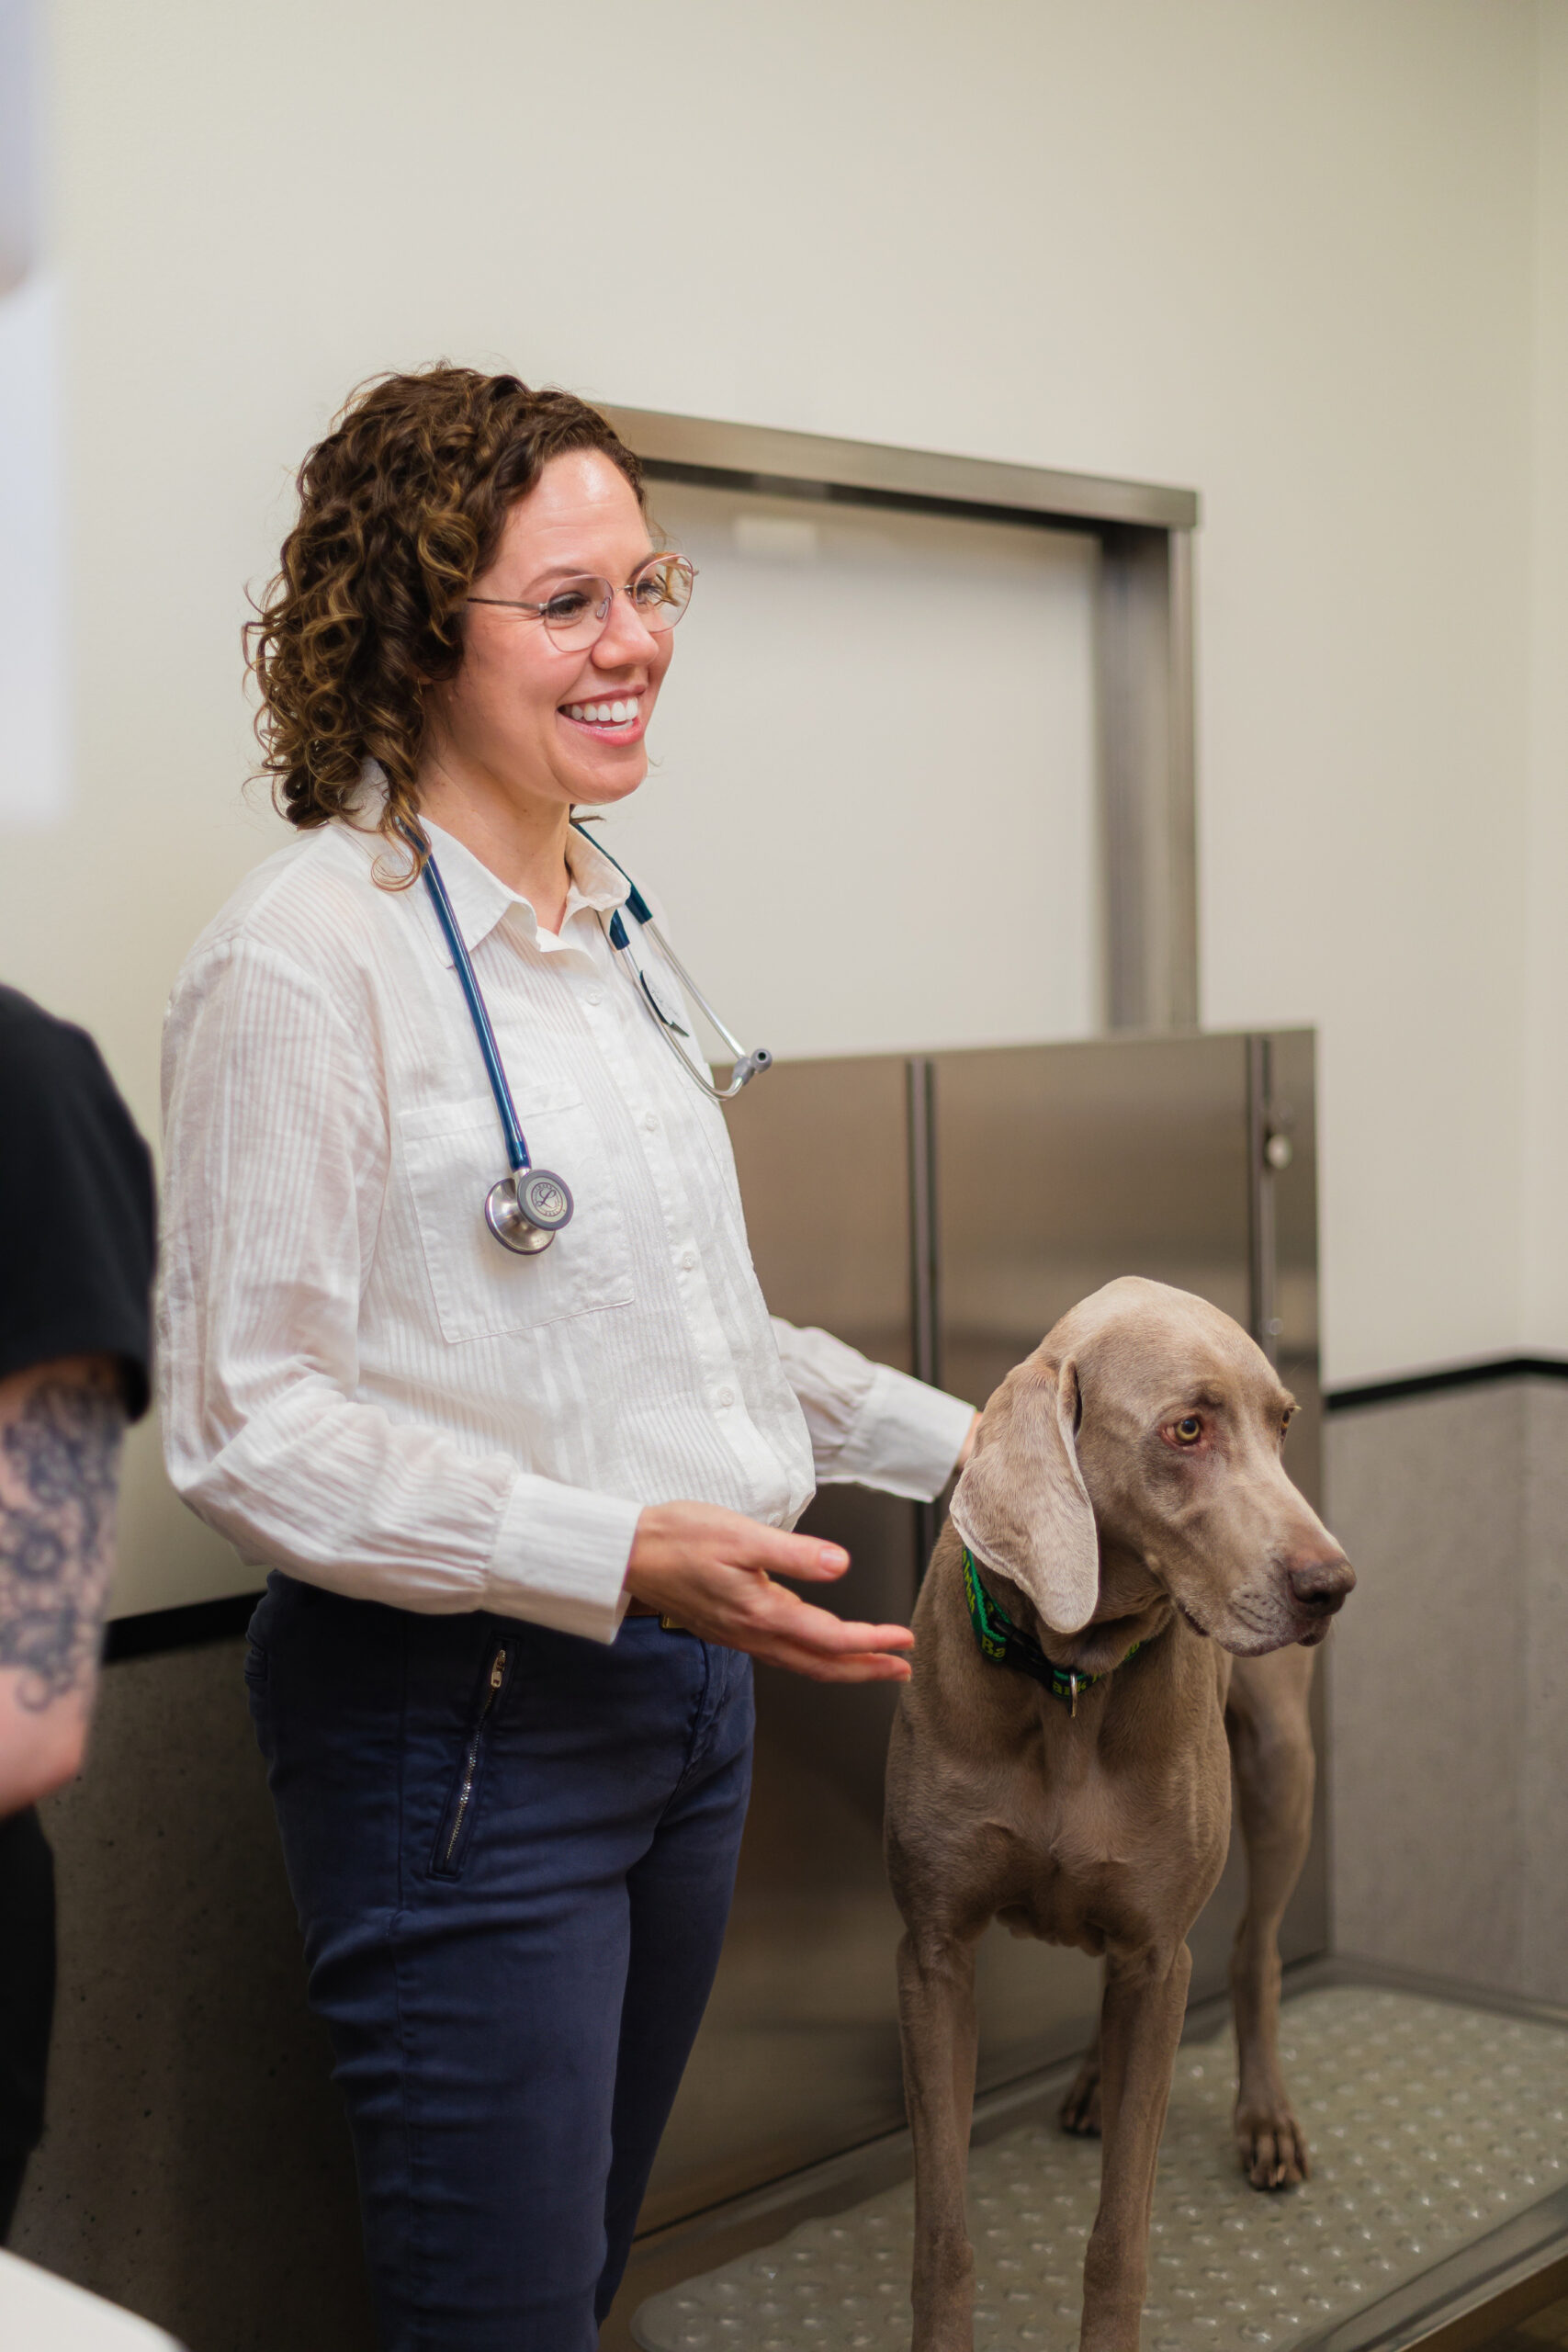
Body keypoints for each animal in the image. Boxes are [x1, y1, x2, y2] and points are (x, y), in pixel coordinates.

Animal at [888, 1279, 1354, 2352]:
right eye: (1187, 1428)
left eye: (1283, 1423)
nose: (1333, 1584)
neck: (1070, 1680)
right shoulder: (932, 1955)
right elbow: (940, 2233)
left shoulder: (1158, 1952)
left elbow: (1118, 2236)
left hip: (1281, 1770)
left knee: (1253, 1953)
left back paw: (1263, 2116)